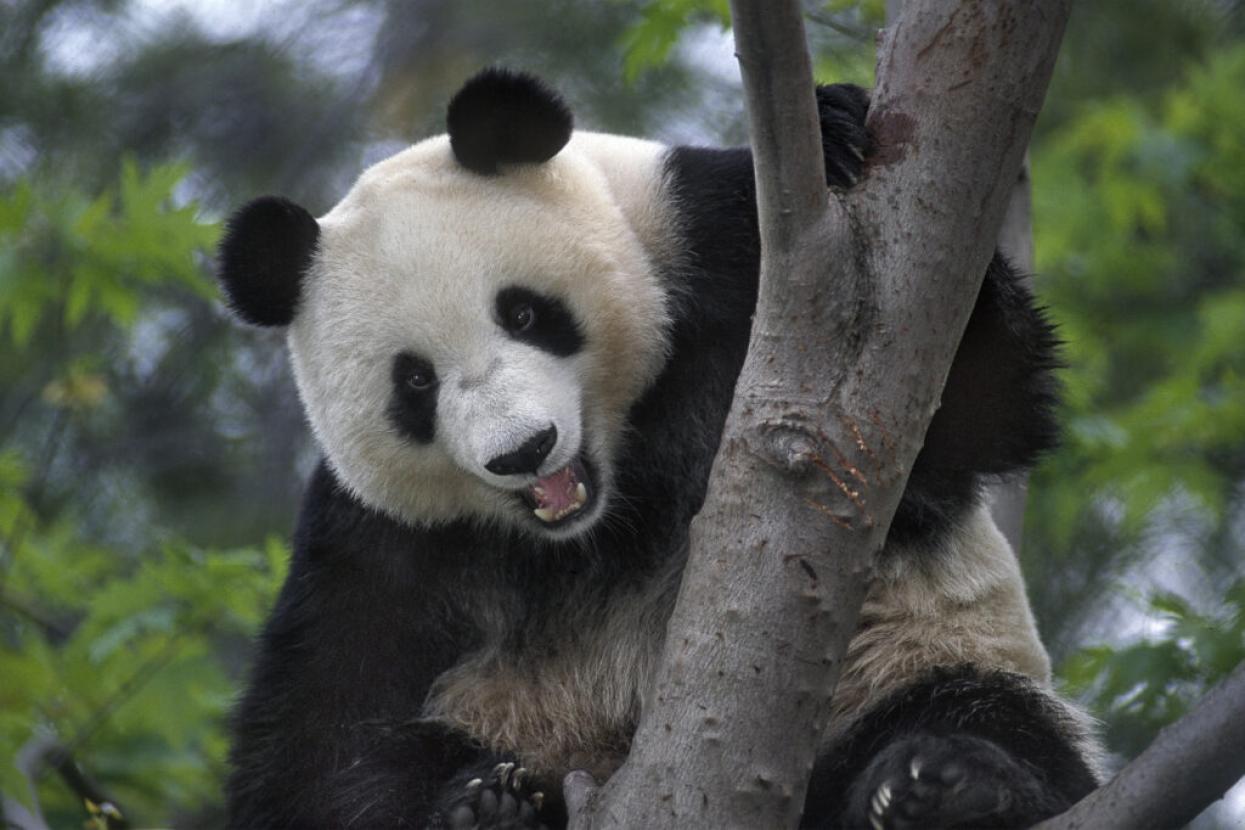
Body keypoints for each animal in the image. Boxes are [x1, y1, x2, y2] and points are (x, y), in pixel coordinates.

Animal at [219, 68, 1105, 826]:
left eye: (524, 313)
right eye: (413, 383)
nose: (523, 450)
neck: (607, 508)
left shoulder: (732, 258)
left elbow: (980, 408)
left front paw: (835, 126)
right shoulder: (377, 538)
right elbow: (317, 740)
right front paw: (463, 803)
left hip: (906, 657)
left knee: (979, 713)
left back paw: (944, 789)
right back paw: (487, 808)